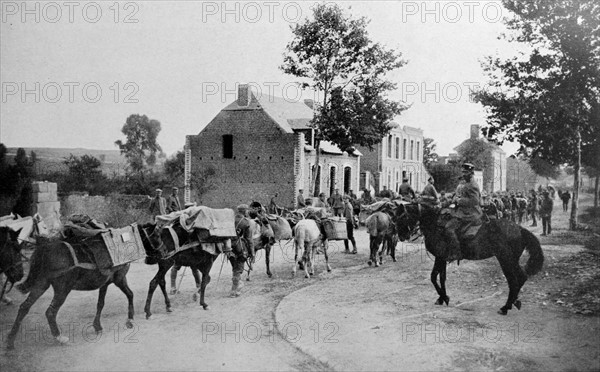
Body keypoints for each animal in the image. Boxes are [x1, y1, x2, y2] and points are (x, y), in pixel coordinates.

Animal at [5, 222, 150, 350]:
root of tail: (45, 249)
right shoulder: (119, 279)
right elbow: (130, 294)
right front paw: (130, 319)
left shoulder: (105, 283)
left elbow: (100, 303)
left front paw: (97, 326)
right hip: (63, 289)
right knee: (50, 312)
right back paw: (59, 337)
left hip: (41, 284)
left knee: (24, 307)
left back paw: (10, 341)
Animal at [394, 202, 544, 316]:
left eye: (403, 217)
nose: (401, 236)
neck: (435, 225)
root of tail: (519, 228)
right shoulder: (442, 258)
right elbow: (440, 277)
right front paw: (442, 298)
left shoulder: (440, 257)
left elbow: (433, 277)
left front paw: (444, 298)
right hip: (511, 260)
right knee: (521, 277)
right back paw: (515, 302)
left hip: (505, 259)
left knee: (514, 280)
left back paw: (505, 307)